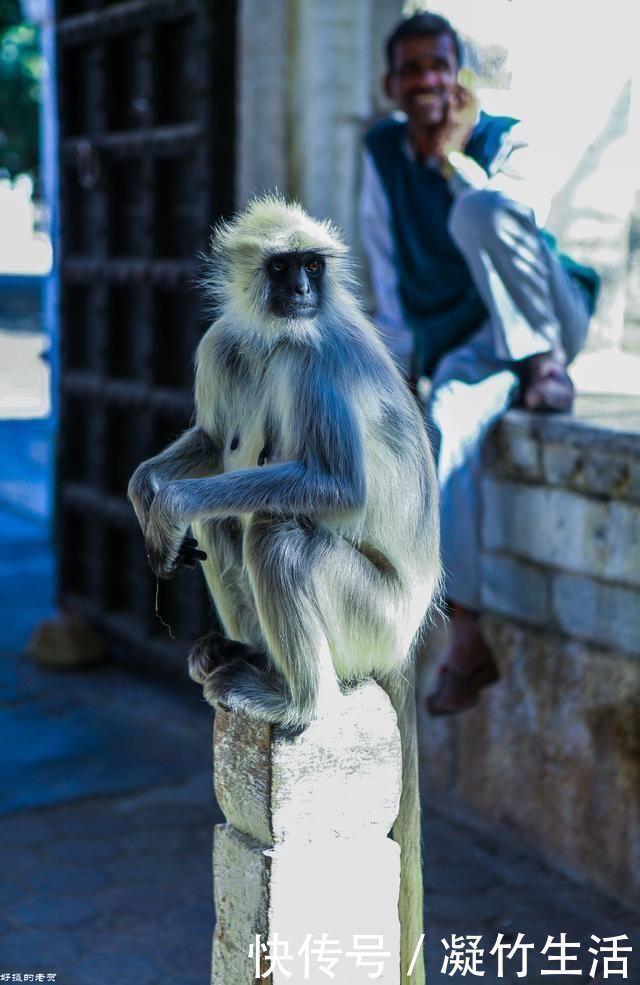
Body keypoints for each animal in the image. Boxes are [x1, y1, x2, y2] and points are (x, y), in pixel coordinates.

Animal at [128, 194, 442, 984]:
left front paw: (171, 503)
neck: (272, 333)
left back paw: (299, 698)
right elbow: (213, 441)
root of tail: (409, 634)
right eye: (282, 269)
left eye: (311, 267)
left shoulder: (313, 353)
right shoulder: (222, 343)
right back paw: (245, 656)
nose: (301, 291)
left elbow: (336, 488)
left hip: (373, 616)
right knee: (234, 518)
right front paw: (148, 491)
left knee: (275, 533)